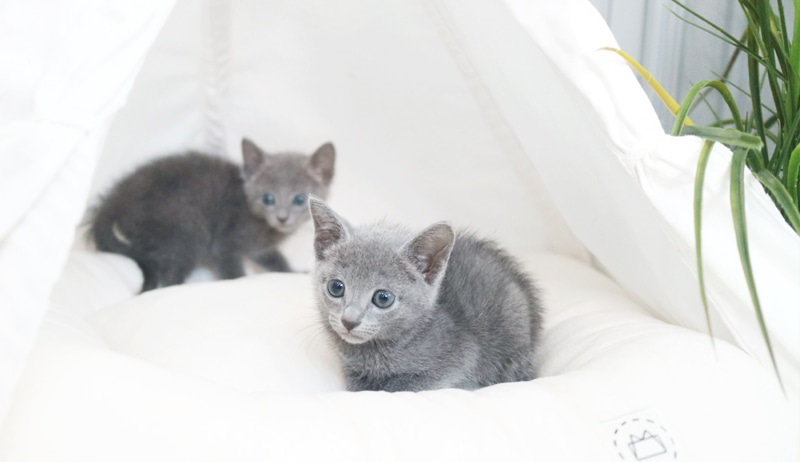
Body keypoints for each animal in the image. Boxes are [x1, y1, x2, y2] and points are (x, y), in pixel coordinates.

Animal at [88, 138, 335, 292]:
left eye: (299, 199)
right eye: (267, 198)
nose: (282, 218)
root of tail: (117, 199)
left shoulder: (261, 248)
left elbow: (275, 259)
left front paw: (292, 272)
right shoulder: (225, 243)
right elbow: (232, 268)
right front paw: (239, 281)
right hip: (187, 229)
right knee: (170, 276)